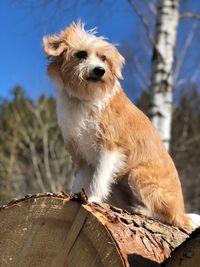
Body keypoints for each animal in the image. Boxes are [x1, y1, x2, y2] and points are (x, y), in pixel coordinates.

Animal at [43, 21, 199, 230]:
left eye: (103, 58)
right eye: (81, 54)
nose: (99, 70)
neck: (85, 98)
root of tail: (183, 213)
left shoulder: (110, 149)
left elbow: (98, 179)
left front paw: (91, 199)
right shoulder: (81, 156)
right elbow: (80, 181)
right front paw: (74, 196)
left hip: (137, 174)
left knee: (169, 218)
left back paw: (142, 210)